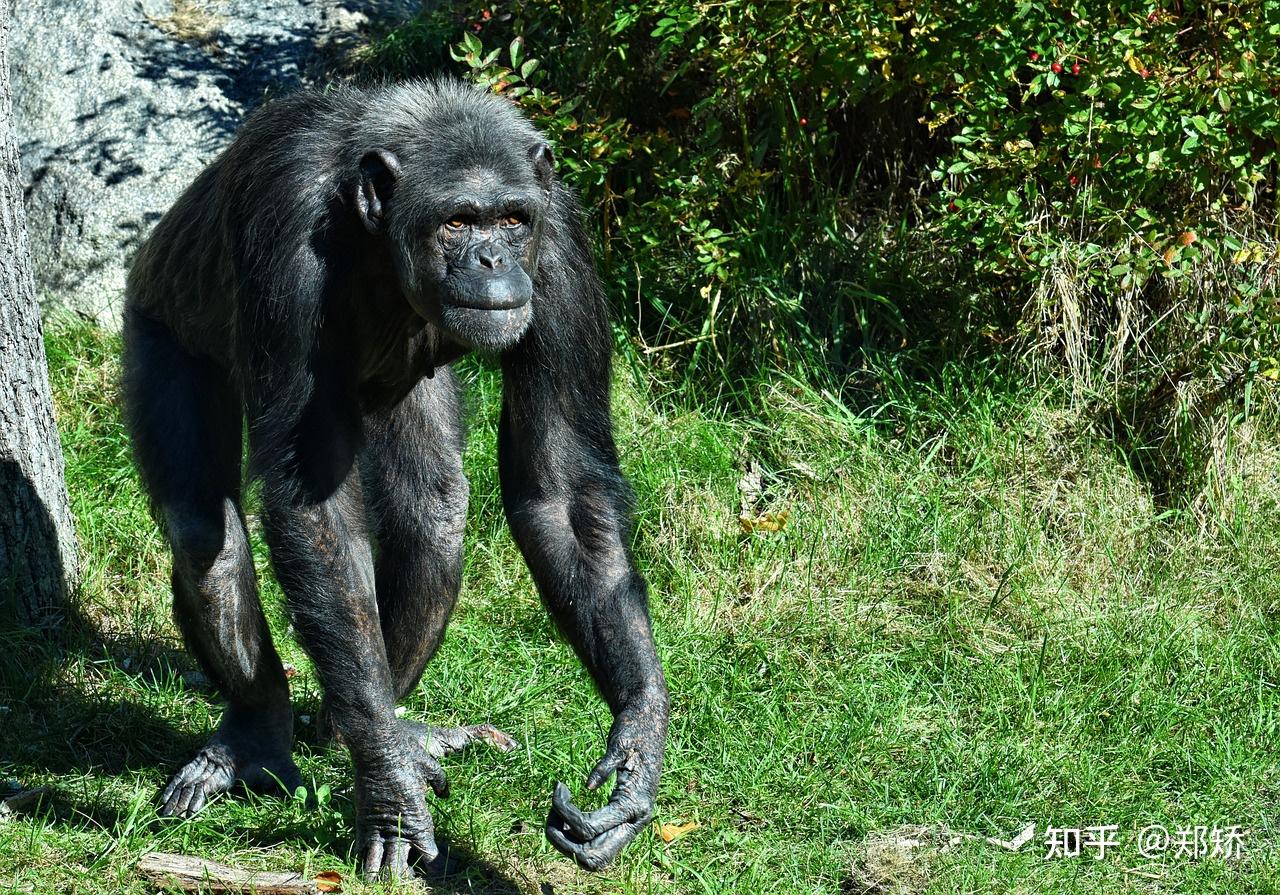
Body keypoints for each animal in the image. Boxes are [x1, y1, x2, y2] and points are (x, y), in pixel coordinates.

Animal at [122, 80, 670, 880]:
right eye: (457, 220)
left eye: (512, 219)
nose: (491, 258)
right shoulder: (282, 231)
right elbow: (313, 506)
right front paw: (389, 792)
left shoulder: (562, 250)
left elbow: (564, 485)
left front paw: (636, 743)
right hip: (157, 328)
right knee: (202, 532)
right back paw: (259, 739)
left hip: (407, 398)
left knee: (433, 520)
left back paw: (375, 728)